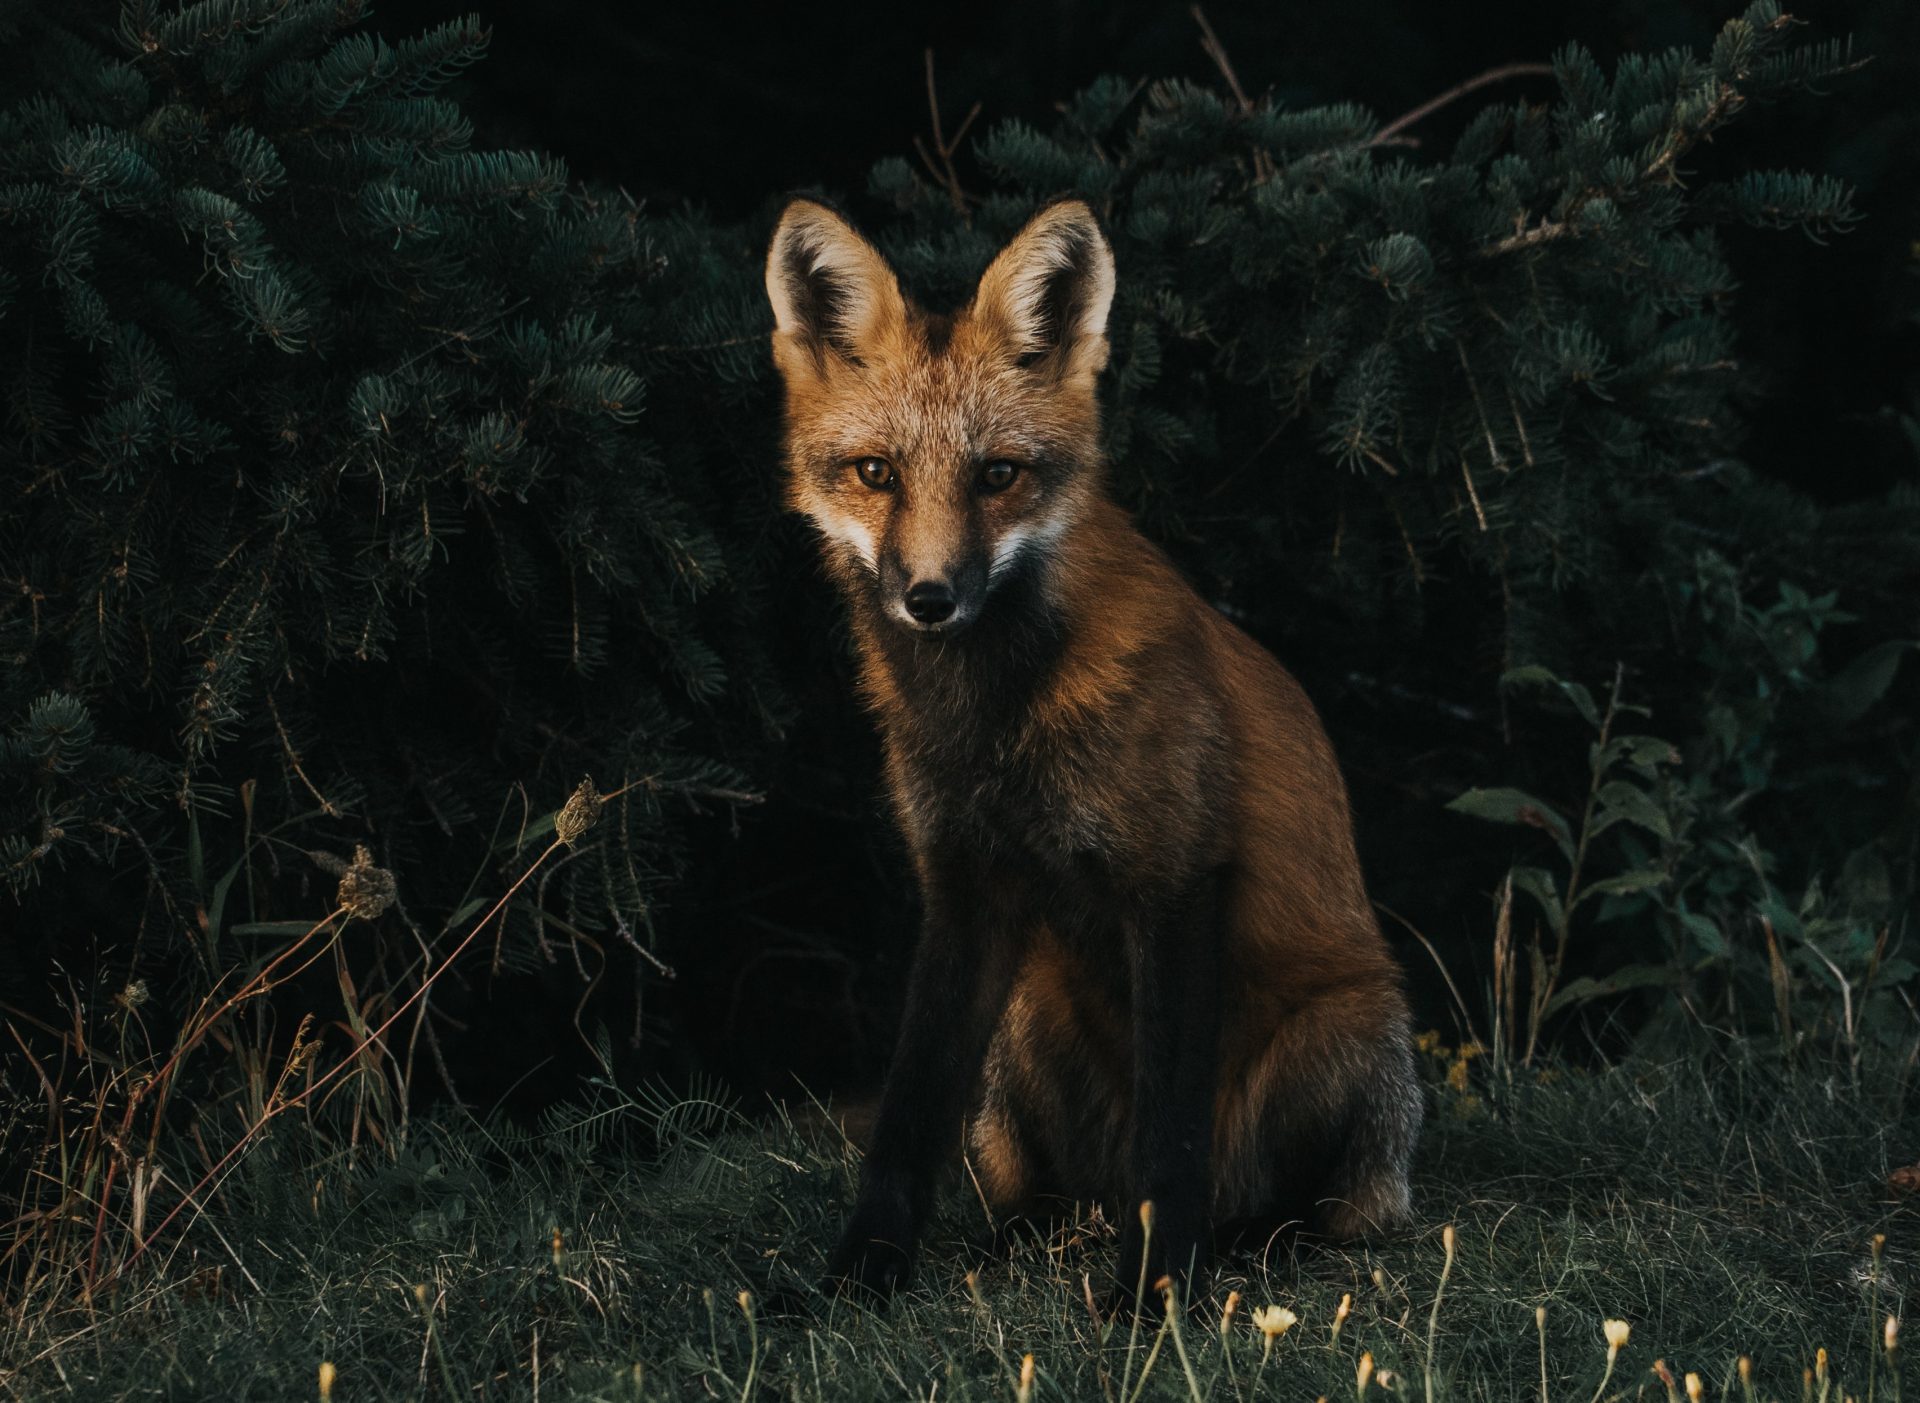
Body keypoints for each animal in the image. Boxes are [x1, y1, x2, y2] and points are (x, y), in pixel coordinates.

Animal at [756, 191, 1420, 1312]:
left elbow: (1170, 1138)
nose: (929, 598)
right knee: (1046, 1190)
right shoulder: (964, 886)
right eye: (876, 473)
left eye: (999, 475)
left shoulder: (1177, 877)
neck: (995, 723)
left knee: (1313, 1209)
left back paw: (1243, 1247)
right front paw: (860, 1276)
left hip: (1348, 1033)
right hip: (1026, 1021)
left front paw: (1156, 1296)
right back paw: (1021, 1235)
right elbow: (906, 1118)